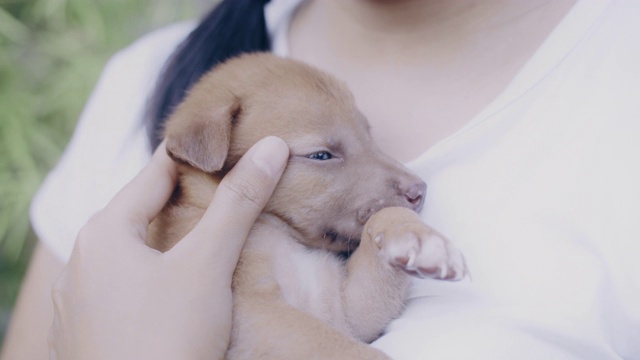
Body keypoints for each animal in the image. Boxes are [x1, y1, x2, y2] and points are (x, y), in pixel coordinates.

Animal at [149, 52, 468, 358]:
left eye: (369, 136)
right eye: (321, 155)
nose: (420, 191)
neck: (286, 239)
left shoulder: (343, 310)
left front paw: (418, 238)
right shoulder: (250, 316)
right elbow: (346, 349)